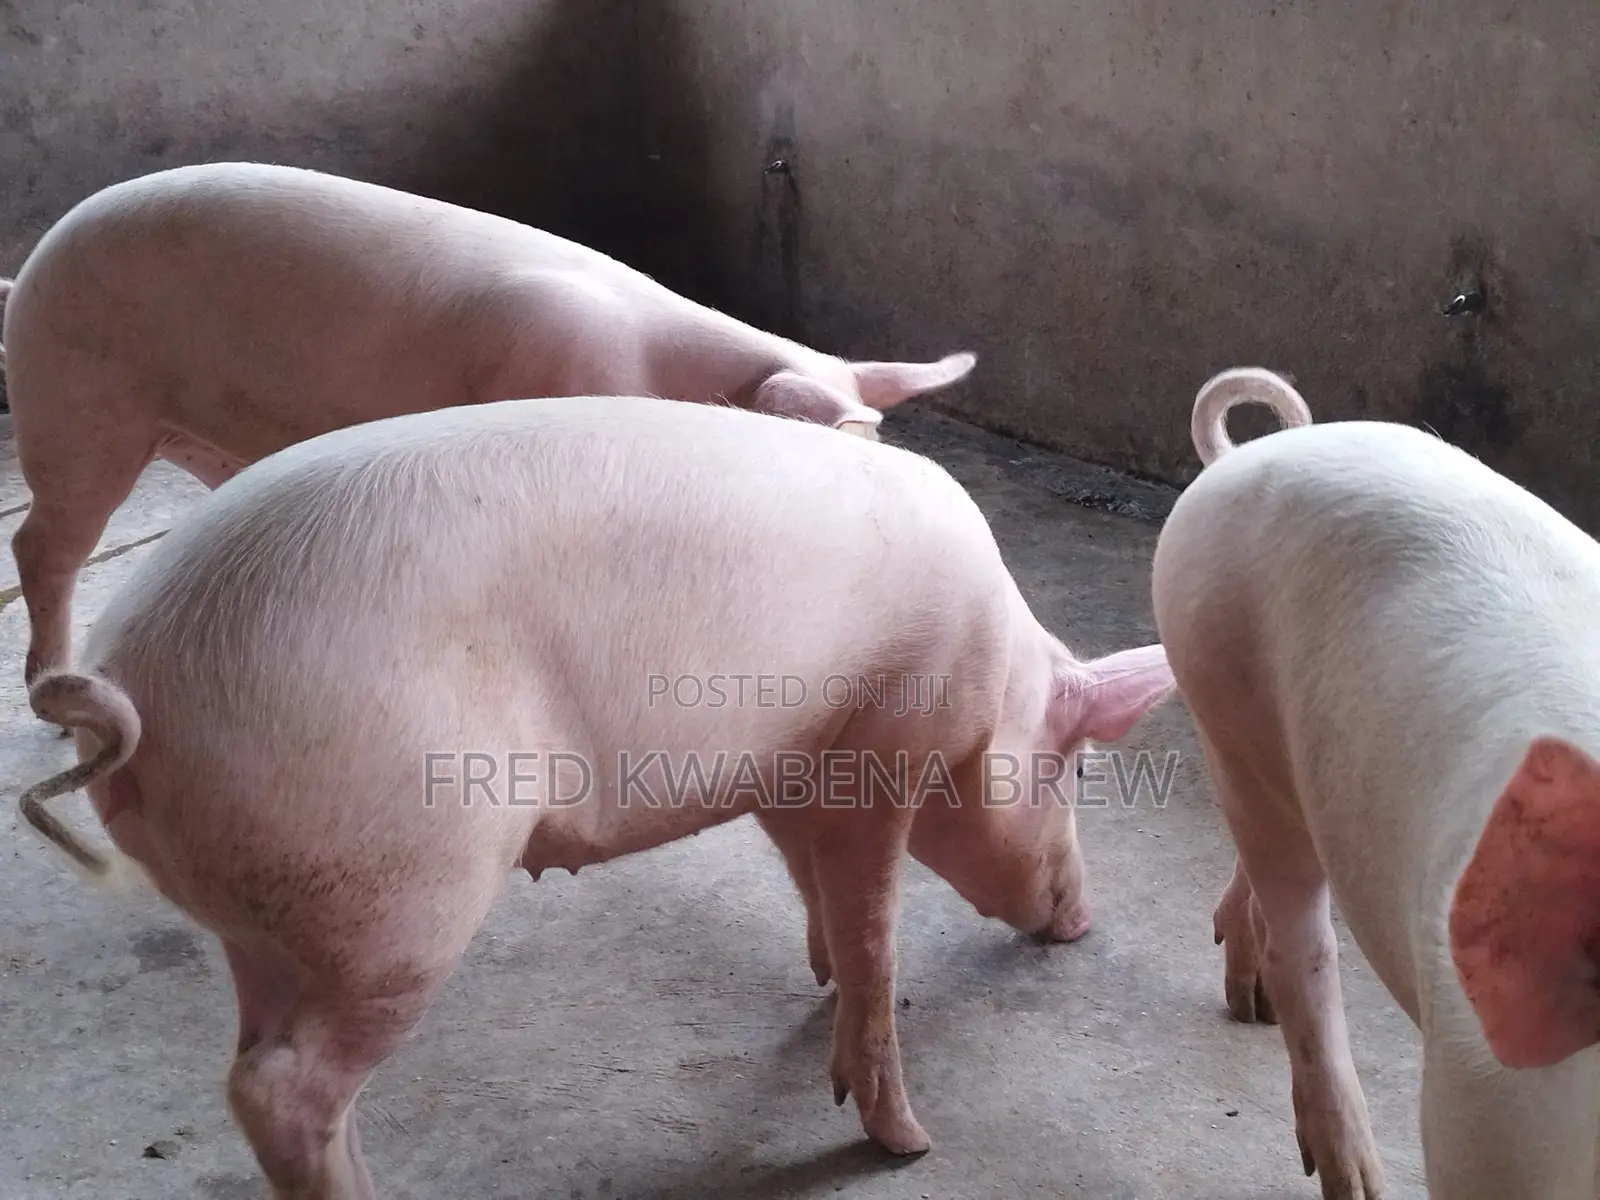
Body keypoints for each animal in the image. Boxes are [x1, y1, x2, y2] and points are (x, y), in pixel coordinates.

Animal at [19, 393, 1175, 1198]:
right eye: (1075, 764)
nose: (1080, 919)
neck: (994, 671)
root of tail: (126, 683)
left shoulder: (785, 761)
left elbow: (819, 895)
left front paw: (817, 990)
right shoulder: (885, 741)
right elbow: (876, 931)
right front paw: (905, 1142)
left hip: (269, 914)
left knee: (251, 1059)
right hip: (399, 889)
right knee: (281, 1086)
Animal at [1150, 366, 1600, 1199]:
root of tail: (1236, 460)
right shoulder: (1476, 1098)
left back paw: (1250, 1000)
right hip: (1219, 688)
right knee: (1304, 946)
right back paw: (1355, 1176)